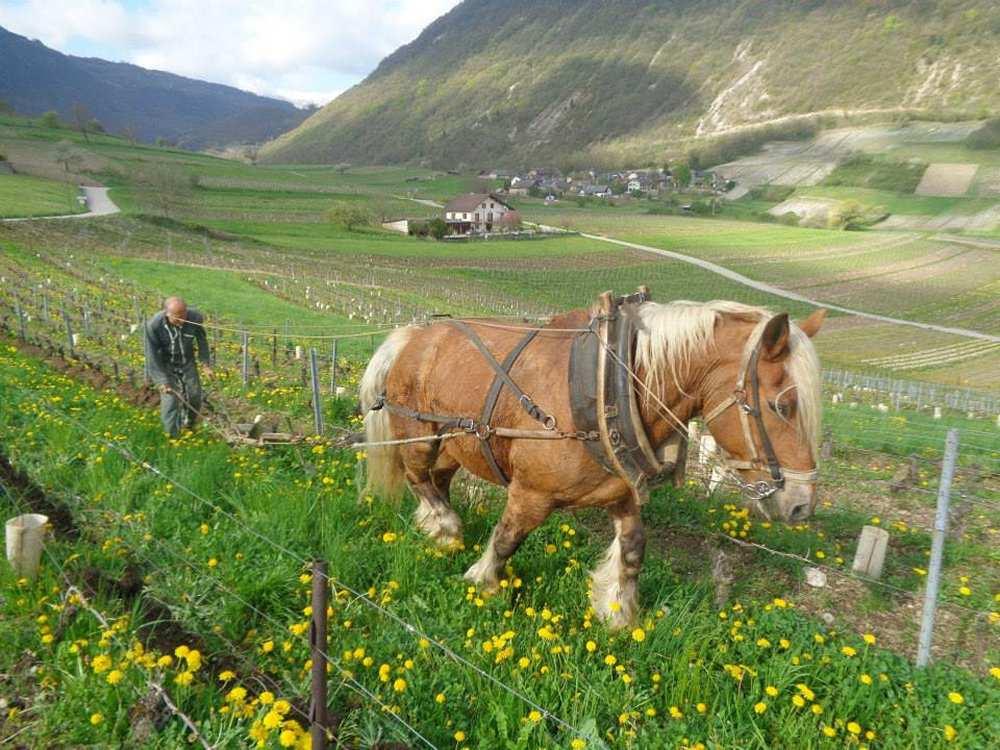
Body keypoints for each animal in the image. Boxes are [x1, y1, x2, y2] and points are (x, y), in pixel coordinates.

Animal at [360, 300, 828, 628]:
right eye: (783, 405)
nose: (801, 504)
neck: (611, 387)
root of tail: (413, 335)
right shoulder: (530, 493)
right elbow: (507, 539)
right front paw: (483, 581)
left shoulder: (622, 492)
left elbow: (634, 548)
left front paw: (617, 610)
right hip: (420, 433)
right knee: (418, 477)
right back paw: (444, 528)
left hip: (455, 444)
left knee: (437, 480)